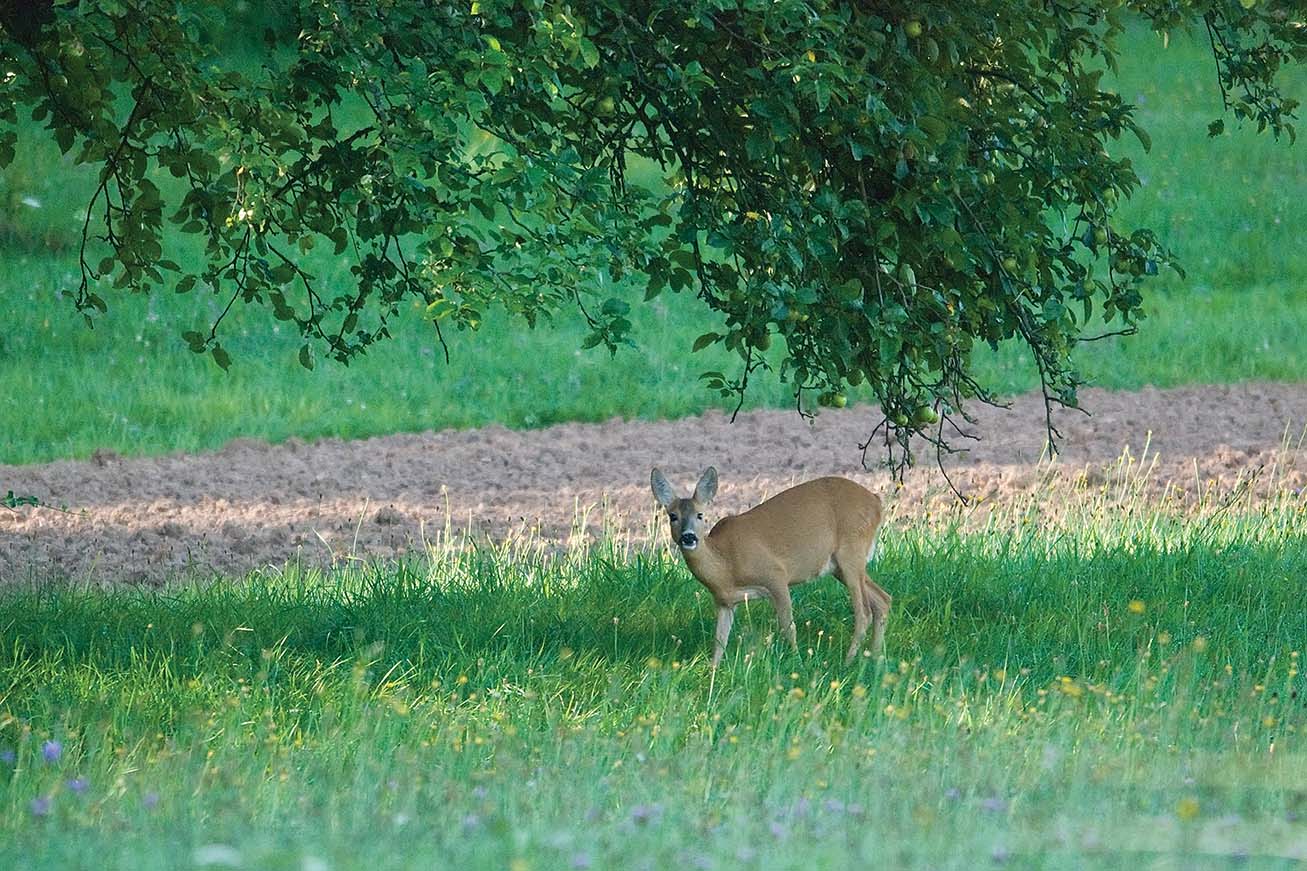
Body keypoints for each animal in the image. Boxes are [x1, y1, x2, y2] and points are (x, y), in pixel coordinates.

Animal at [650, 468, 893, 664]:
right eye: (673, 516)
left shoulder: (775, 575)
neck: (726, 567)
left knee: (864, 612)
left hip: (851, 552)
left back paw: (849, 661)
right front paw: (712, 673)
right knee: (883, 599)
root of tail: (876, 502)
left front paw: (797, 661)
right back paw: (875, 658)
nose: (688, 537)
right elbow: (719, 640)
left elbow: (788, 626)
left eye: (700, 515)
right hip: (840, 566)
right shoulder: (725, 602)